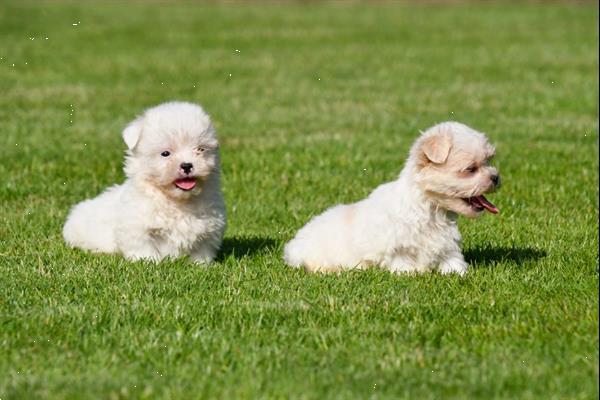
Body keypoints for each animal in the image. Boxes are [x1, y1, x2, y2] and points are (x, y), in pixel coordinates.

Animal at [63, 101, 226, 262]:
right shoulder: (137, 228)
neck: (177, 201)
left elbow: (201, 251)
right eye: (165, 153)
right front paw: (149, 262)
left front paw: (200, 264)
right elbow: (144, 249)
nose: (187, 165)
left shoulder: (209, 228)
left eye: (200, 149)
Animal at [284, 121, 500, 276]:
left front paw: (458, 273)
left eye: (489, 161)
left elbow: (453, 261)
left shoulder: (446, 244)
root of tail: (293, 245)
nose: (496, 177)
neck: (429, 209)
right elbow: (402, 262)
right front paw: (410, 273)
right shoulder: (395, 245)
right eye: (470, 169)